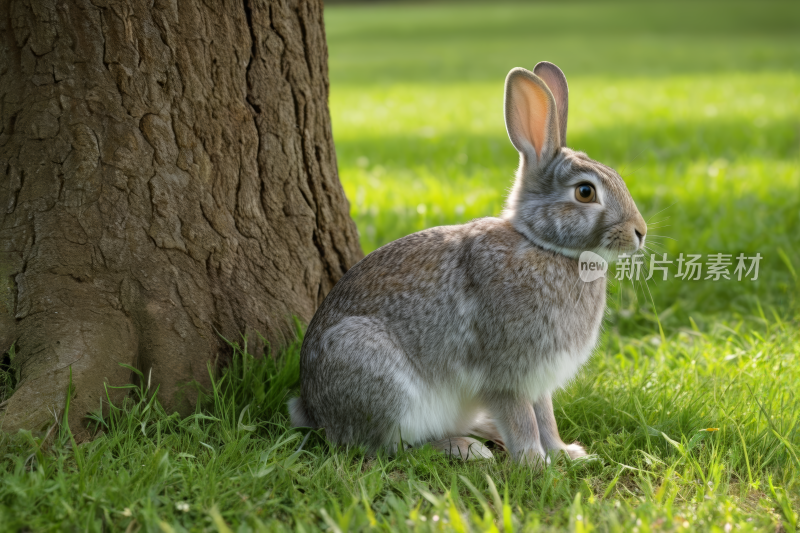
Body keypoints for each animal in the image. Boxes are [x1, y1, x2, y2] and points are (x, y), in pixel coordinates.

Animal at [290, 60, 648, 464]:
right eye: (585, 192)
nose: (640, 231)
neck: (543, 246)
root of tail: (313, 409)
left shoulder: (538, 380)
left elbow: (546, 416)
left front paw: (565, 453)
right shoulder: (506, 375)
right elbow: (523, 419)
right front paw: (536, 463)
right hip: (378, 378)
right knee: (389, 447)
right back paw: (465, 448)